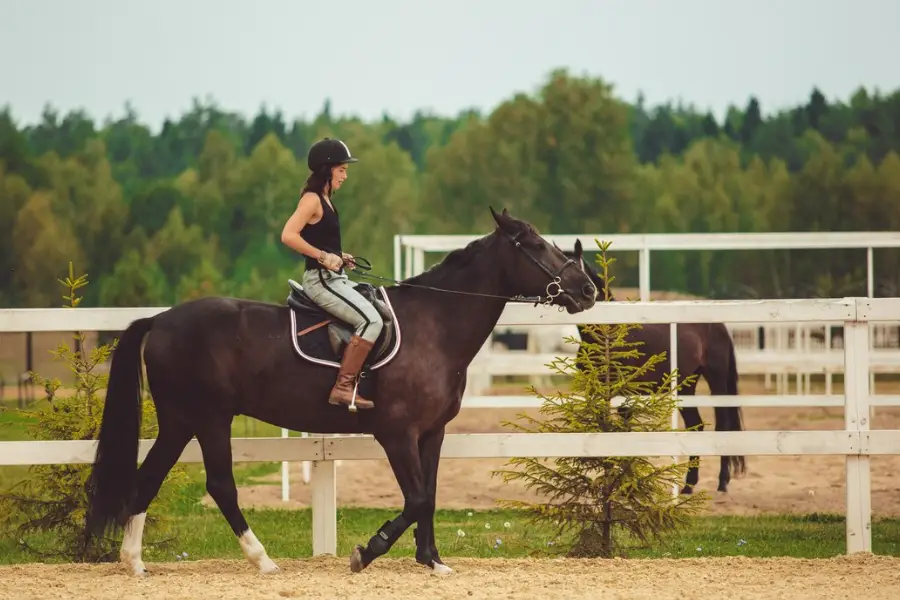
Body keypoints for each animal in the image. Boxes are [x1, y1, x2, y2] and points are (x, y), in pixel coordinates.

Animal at [79, 207, 596, 576]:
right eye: (534, 244)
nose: (588, 289)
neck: (434, 324)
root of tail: (160, 320)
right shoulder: (397, 433)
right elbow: (416, 499)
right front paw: (367, 552)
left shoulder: (432, 433)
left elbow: (428, 494)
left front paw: (432, 561)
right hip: (207, 419)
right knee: (220, 485)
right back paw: (263, 561)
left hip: (182, 421)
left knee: (149, 478)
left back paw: (135, 562)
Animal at [564, 237, 744, 494]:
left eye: (575, 267)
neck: (608, 334)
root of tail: (718, 325)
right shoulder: (597, 391)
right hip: (686, 386)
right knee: (696, 426)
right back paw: (688, 486)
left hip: (716, 379)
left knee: (723, 425)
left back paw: (721, 483)